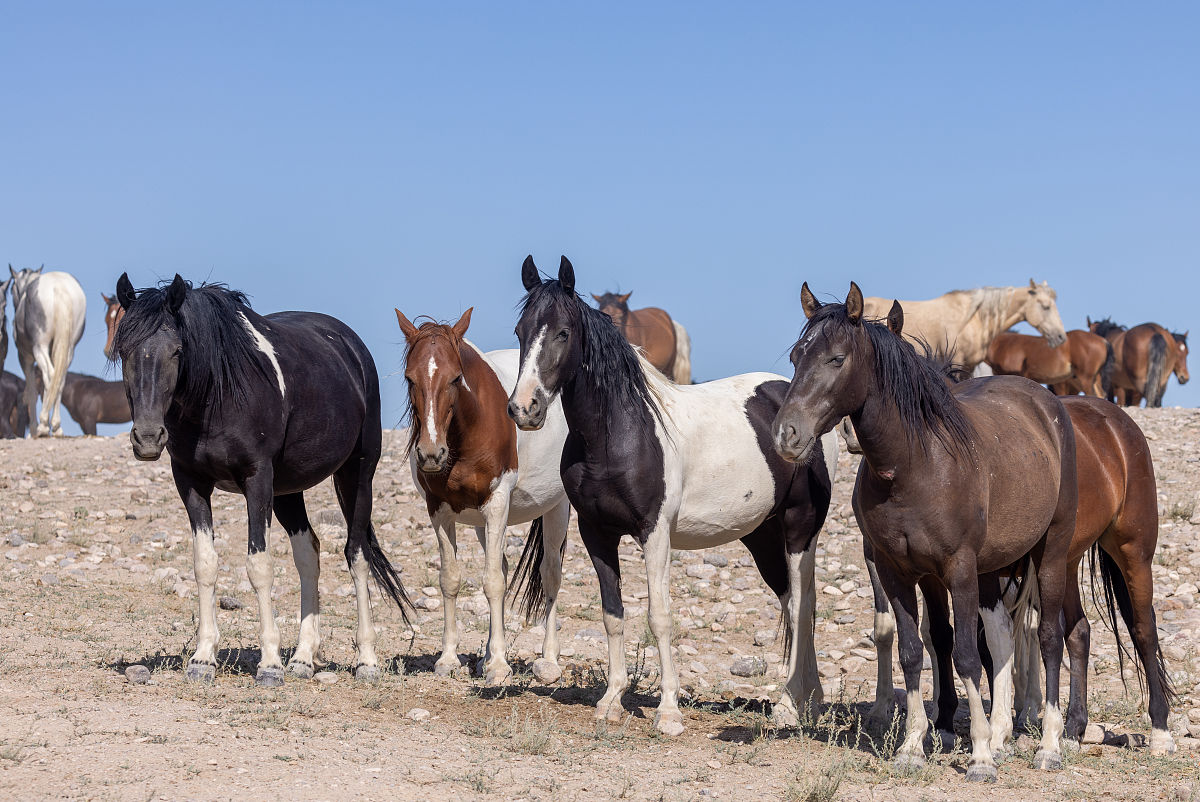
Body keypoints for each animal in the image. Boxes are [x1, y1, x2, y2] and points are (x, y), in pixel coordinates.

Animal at [9, 265, 87, 437]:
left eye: (11, 289)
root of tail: (59, 287)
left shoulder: (25, 357)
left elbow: (31, 391)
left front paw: (33, 429)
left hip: (40, 347)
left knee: (50, 375)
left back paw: (43, 426)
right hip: (68, 349)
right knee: (59, 379)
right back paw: (56, 427)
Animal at [112, 273, 410, 686]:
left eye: (176, 350)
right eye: (124, 349)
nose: (147, 438)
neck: (218, 394)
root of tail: (351, 347)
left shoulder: (257, 481)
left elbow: (259, 566)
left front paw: (269, 664)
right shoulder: (191, 482)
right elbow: (205, 563)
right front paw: (203, 658)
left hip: (357, 475)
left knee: (357, 554)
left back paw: (366, 660)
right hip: (288, 492)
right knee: (309, 553)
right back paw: (302, 658)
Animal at [395, 307, 572, 685]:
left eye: (455, 378)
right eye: (409, 378)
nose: (431, 454)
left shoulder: (497, 503)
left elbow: (492, 583)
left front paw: (500, 666)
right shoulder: (440, 509)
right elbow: (451, 579)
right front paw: (450, 658)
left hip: (556, 507)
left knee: (550, 573)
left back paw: (548, 659)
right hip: (480, 523)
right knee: (502, 566)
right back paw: (488, 655)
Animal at [508, 256, 837, 736]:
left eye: (563, 333)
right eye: (520, 332)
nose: (524, 408)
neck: (618, 433)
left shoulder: (655, 533)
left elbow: (659, 617)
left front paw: (668, 711)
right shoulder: (596, 534)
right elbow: (612, 614)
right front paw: (611, 699)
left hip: (799, 530)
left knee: (802, 605)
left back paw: (792, 704)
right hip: (761, 536)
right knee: (793, 603)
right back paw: (806, 698)